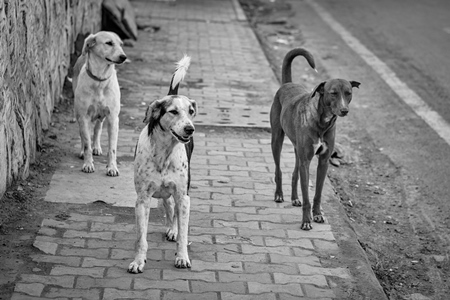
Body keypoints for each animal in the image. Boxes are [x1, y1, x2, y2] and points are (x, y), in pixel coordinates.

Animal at [71, 30, 126, 176]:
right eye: (109, 43)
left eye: (121, 44)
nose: (124, 57)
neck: (100, 80)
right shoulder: (84, 117)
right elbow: (86, 143)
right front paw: (88, 164)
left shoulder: (113, 118)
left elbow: (112, 148)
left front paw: (112, 167)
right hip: (79, 114)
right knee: (83, 135)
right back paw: (83, 151)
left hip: (101, 116)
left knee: (97, 129)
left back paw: (96, 147)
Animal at [127, 55, 196, 274]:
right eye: (173, 111)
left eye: (191, 111)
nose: (190, 129)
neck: (165, 153)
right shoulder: (142, 200)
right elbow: (141, 238)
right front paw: (138, 261)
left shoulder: (184, 197)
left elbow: (183, 233)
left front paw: (182, 257)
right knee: (168, 205)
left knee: (173, 209)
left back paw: (173, 230)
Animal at [268, 47, 360, 230]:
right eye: (333, 93)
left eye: (348, 93)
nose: (345, 110)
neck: (322, 122)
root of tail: (286, 84)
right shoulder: (306, 161)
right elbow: (307, 197)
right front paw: (306, 221)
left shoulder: (323, 162)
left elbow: (317, 193)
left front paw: (317, 215)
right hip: (277, 140)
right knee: (278, 169)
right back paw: (279, 195)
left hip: (297, 149)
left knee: (294, 174)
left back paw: (294, 198)